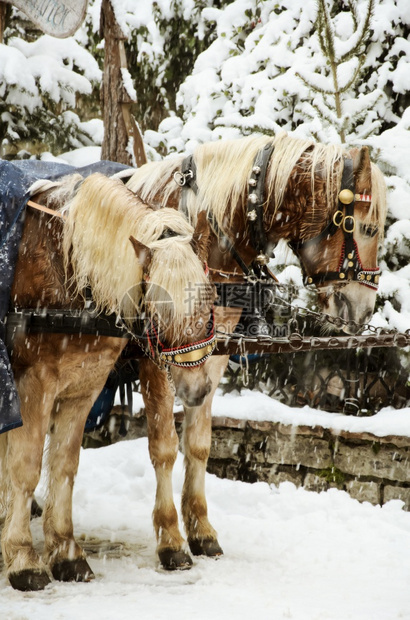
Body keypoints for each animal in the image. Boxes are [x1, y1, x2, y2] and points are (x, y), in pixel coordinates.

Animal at [0, 171, 216, 592]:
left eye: (208, 300)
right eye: (160, 312)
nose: (197, 390)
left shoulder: (83, 386)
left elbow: (64, 465)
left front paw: (65, 552)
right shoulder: (32, 385)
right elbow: (26, 468)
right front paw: (23, 558)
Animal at [125, 133, 388, 568]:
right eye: (365, 227)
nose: (363, 309)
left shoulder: (211, 353)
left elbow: (198, 445)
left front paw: (201, 530)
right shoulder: (156, 360)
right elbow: (163, 448)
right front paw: (171, 540)